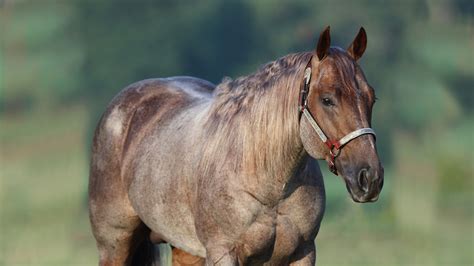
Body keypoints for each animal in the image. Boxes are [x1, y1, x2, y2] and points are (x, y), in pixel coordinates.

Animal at [89, 25, 384, 266]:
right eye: (327, 99)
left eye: (371, 98)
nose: (370, 178)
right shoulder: (223, 253)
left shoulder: (302, 253)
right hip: (114, 246)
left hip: (186, 250)